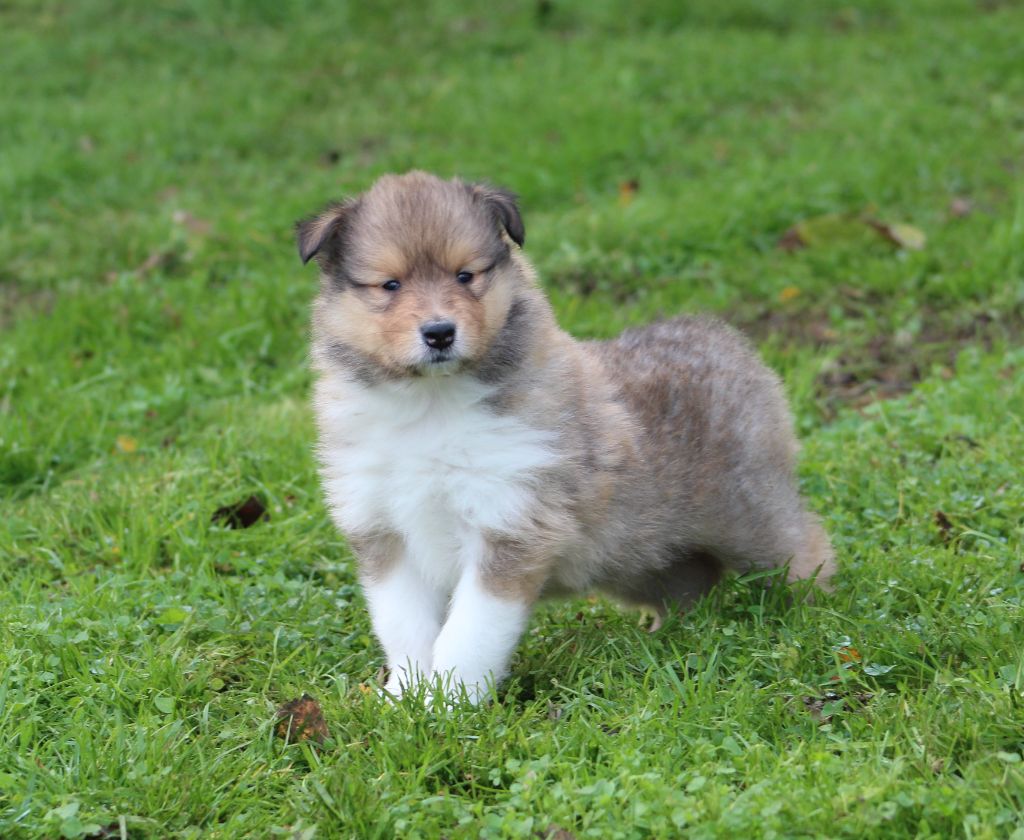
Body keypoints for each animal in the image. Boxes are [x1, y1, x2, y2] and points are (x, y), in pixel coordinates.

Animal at [296, 174, 831, 704]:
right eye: (391, 284)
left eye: (465, 276)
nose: (439, 332)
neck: (431, 404)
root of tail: (724, 339)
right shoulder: (383, 532)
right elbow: (405, 627)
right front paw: (405, 699)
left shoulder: (510, 524)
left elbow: (468, 632)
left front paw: (450, 706)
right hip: (643, 555)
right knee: (692, 581)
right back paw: (669, 635)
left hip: (750, 516)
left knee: (808, 546)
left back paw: (812, 616)